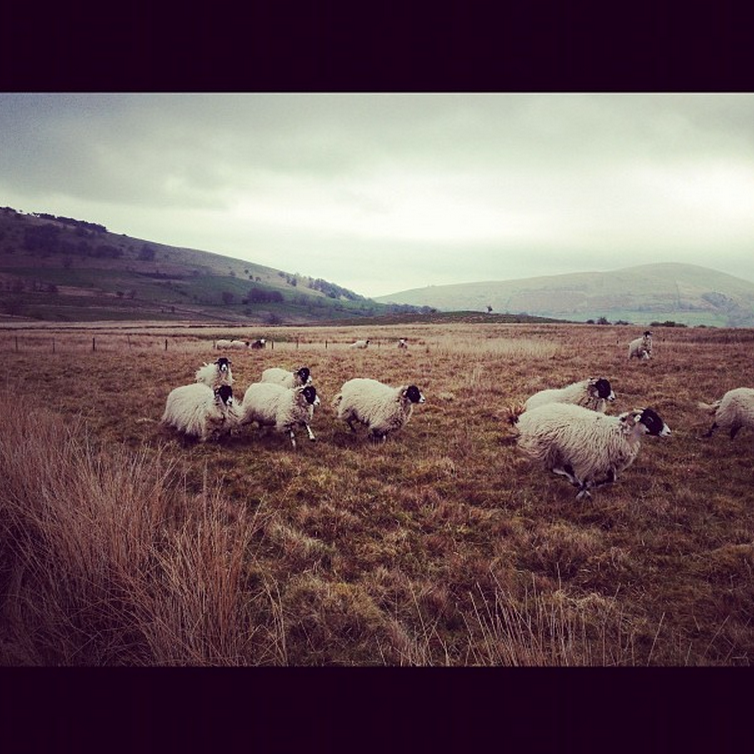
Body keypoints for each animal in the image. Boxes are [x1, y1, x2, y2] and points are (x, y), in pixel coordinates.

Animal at [506, 400, 668, 500]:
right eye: (650, 420)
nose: (668, 432)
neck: (620, 432)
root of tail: (523, 419)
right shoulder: (590, 463)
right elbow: (587, 482)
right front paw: (583, 492)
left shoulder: (608, 464)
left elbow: (611, 480)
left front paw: (589, 489)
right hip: (544, 449)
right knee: (553, 468)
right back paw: (573, 481)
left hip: (557, 451)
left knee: (560, 468)